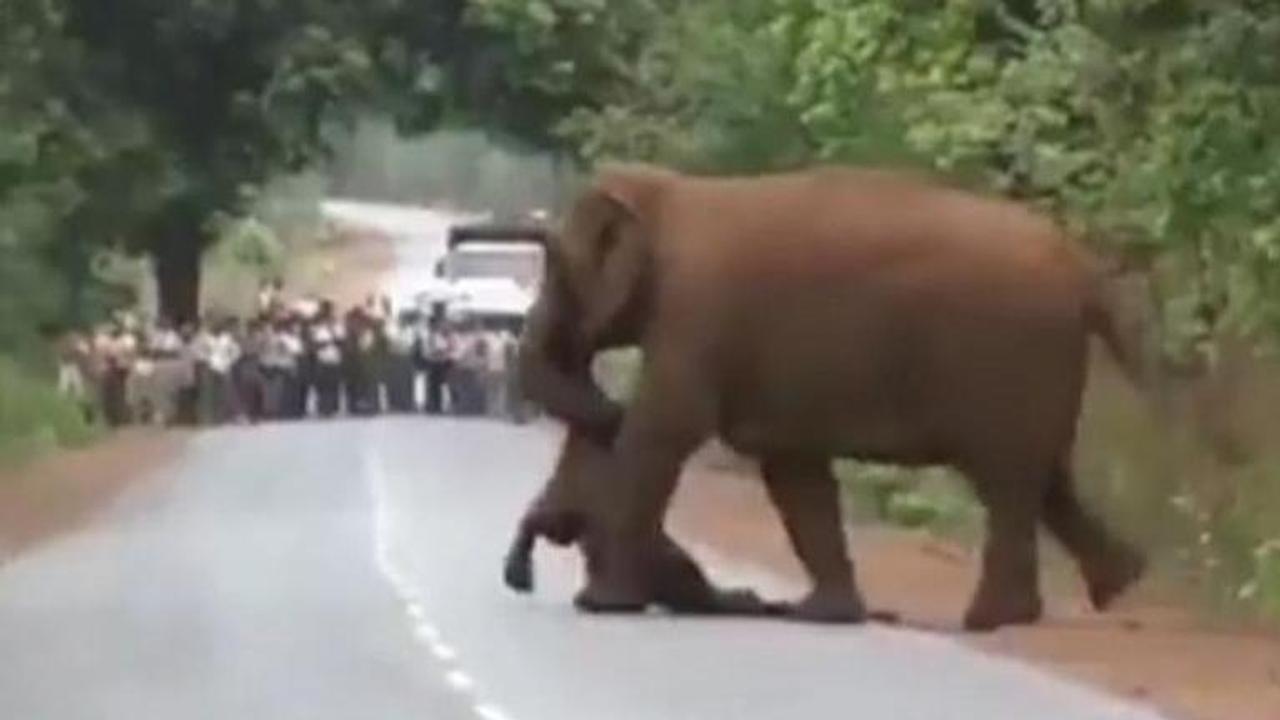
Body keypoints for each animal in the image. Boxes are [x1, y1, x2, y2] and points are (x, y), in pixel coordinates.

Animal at [514, 162, 1146, 627]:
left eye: (559, 270)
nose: (607, 409)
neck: (666, 192)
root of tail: (1086, 269)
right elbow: (794, 471)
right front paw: (827, 614)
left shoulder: (695, 315)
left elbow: (664, 430)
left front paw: (602, 605)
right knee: (1047, 481)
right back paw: (1115, 586)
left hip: (1009, 360)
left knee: (1009, 483)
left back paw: (993, 621)